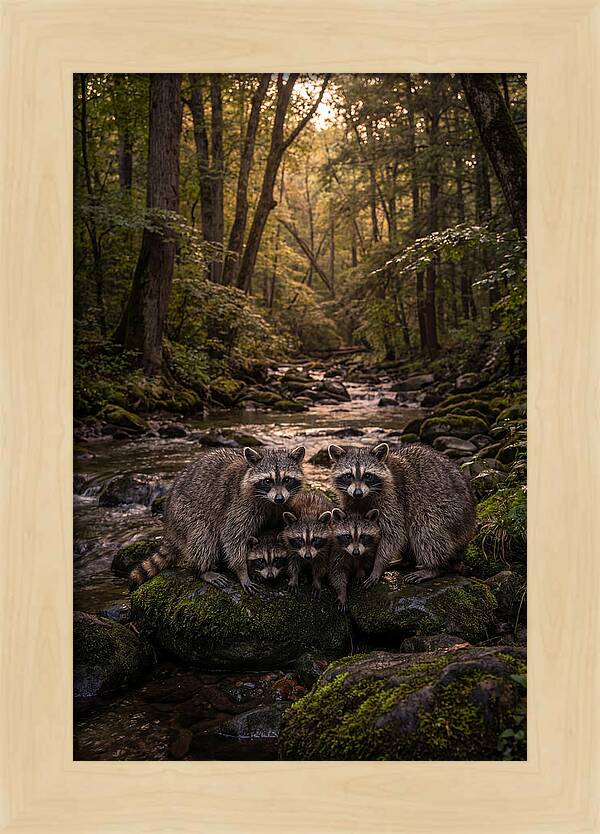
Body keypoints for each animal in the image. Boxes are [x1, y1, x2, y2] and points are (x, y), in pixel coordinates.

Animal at [129, 445, 305, 592]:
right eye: (267, 481)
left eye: (287, 479)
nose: (279, 498)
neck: (270, 502)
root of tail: (169, 525)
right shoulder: (239, 506)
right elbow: (233, 538)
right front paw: (242, 571)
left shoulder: (283, 507)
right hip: (184, 513)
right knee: (203, 536)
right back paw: (203, 570)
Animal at [328, 442, 475, 586]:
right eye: (348, 476)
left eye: (368, 476)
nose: (357, 493)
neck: (364, 497)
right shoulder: (349, 499)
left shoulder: (392, 497)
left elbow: (393, 533)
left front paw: (378, 565)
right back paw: (407, 560)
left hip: (450, 513)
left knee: (425, 529)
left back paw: (433, 567)